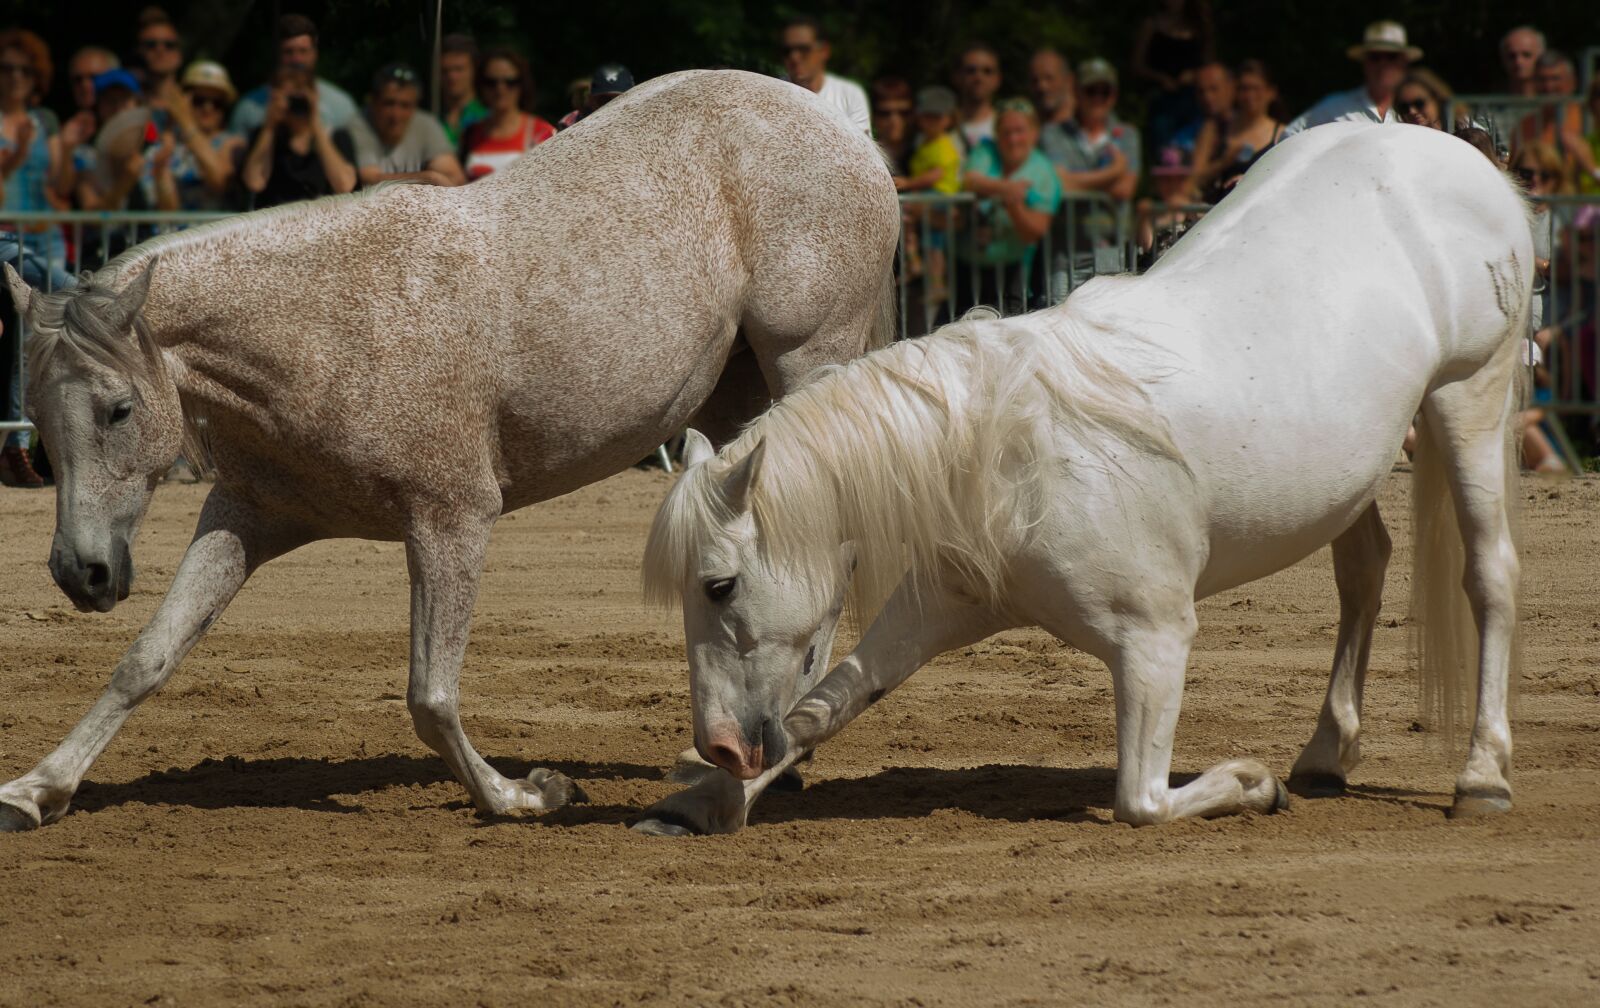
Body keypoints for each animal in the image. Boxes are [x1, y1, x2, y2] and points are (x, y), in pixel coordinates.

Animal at [0, 69, 902, 832]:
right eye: (37, 423)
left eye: (118, 410)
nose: (81, 573)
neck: (330, 330)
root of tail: (847, 133)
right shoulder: (246, 517)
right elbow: (147, 658)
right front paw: (36, 790)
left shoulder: (453, 520)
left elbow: (430, 696)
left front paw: (524, 796)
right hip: (738, 401)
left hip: (806, 361)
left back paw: (776, 756)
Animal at [630, 122, 1529, 838]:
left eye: (717, 585)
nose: (716, 742)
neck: (1005, 458)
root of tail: (1455, 151)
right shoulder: (938, 608)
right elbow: (824, 707)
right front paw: (704, 803)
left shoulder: (1155, 642)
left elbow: (1143, 800)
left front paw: (1253, 782)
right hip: (1356, 475)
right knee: (1363, 573)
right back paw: (1327, 753)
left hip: (1470, 396)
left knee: (1490, 575)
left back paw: (1481, 776)